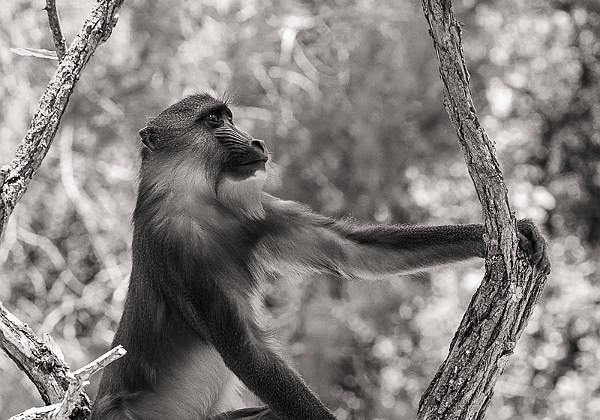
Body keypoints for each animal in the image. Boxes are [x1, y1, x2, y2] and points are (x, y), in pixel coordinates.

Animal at [90, 93, 548, 420]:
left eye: (228, 116)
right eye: (213, 121)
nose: (255, 141)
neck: (202, 199)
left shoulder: (259, 212)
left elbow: (352, 250)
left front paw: (509, 233)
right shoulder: (176, 246)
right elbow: (246, 351)